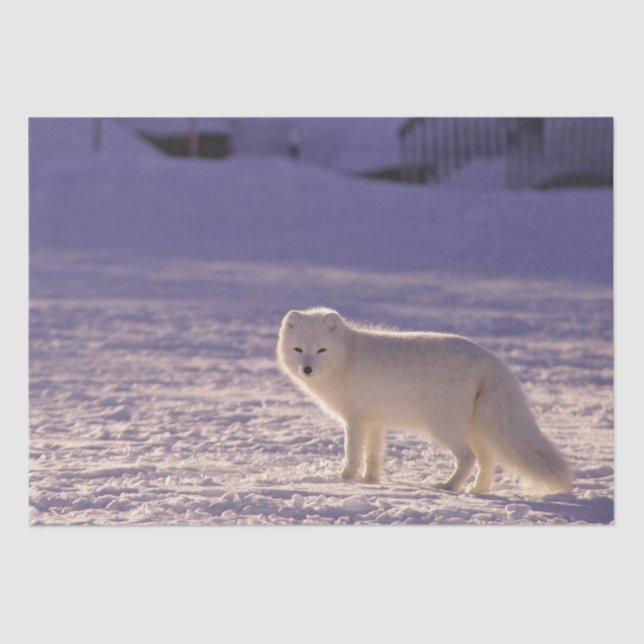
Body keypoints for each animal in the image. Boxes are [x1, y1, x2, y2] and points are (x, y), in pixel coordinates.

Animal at [277, 307, 572, 494]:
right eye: (298, 349)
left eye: (321, 350)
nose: (307, 369)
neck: (347, 357)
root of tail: (490, 360)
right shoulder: (374, 421)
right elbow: (373, 454)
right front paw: (370, 480)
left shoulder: (355, 420)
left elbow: (352, 453)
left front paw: (345, 479)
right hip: (475, 428)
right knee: (487, 459)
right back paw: (477, 490)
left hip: (443, 426)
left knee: (468, 458)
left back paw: (449, 487)